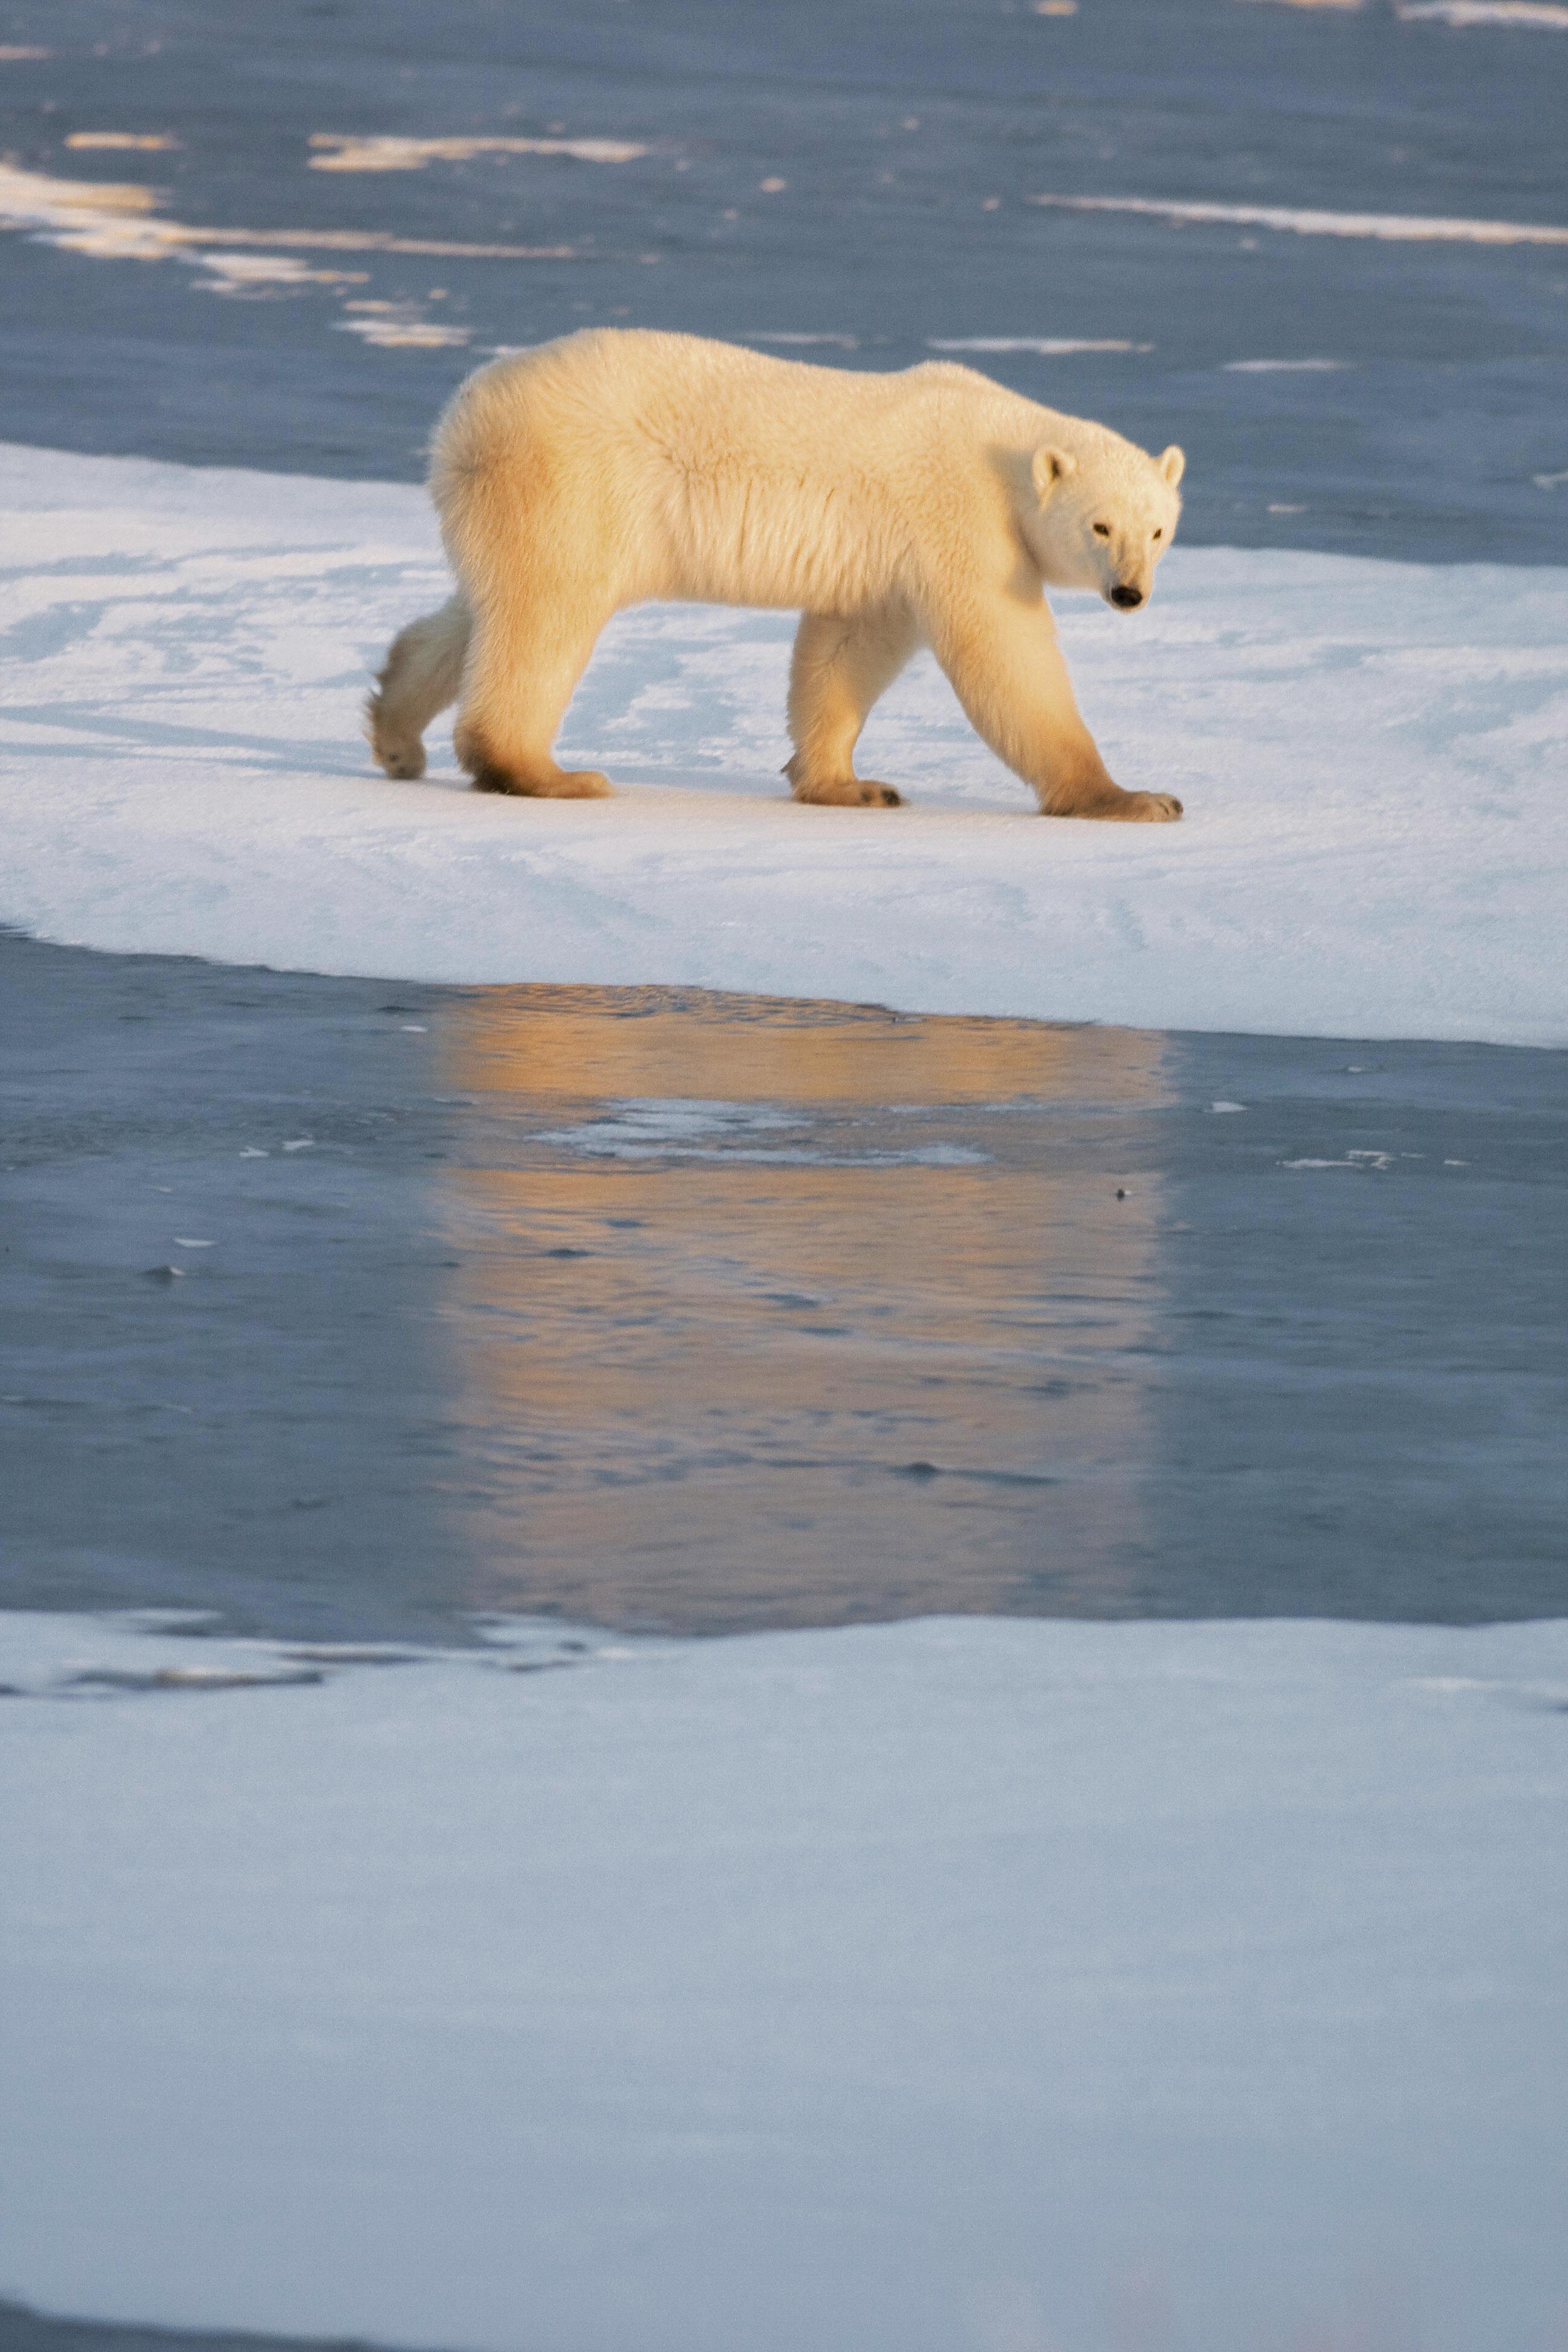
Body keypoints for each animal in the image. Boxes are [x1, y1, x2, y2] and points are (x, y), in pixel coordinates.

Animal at [371, 324, 1189, 818]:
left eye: (1158, 529)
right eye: (1100, 525)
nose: (1129, 592)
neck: (1004, 451)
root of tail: (463, 417)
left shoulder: (885, 563)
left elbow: (844, 653)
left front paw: (852, 784)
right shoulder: (962, 520)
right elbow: (1007, 659)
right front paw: (1135, 797)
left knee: (483, 609)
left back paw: (397, 738)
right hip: (574, 480)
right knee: (547, 616)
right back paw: (548, 773)